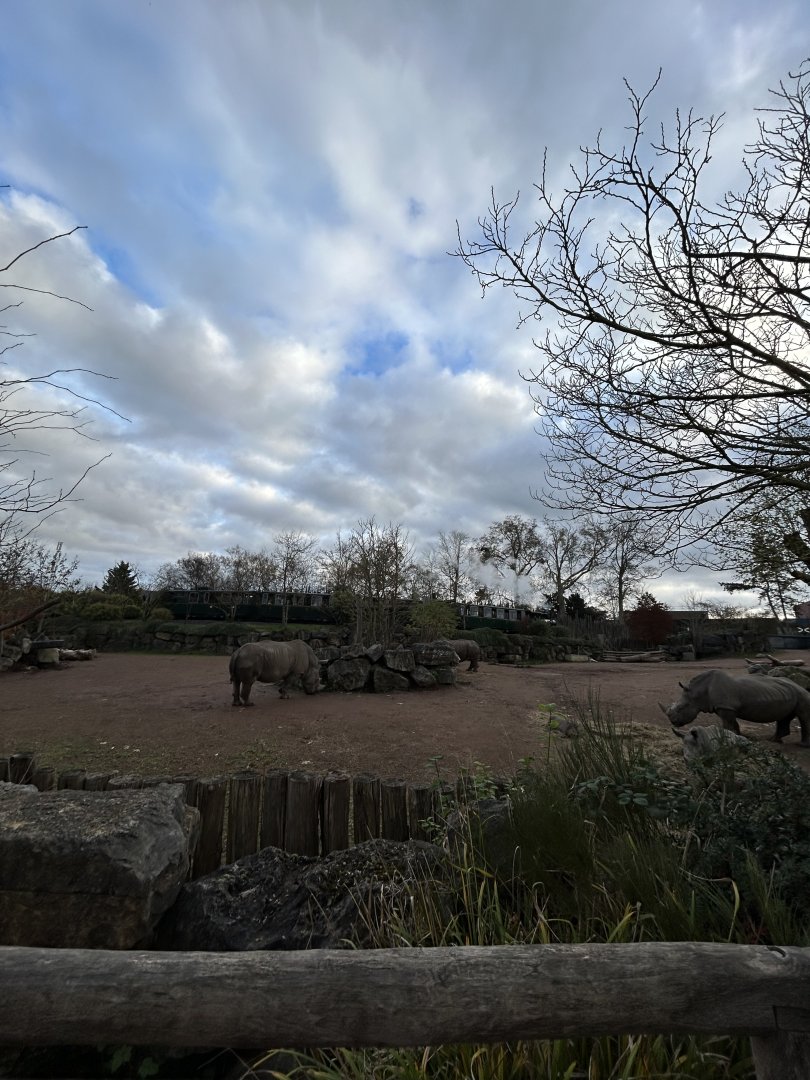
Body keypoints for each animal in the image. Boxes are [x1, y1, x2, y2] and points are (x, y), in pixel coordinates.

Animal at [661, 669, 810, 746]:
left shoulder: (726, 708)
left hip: (802, 694)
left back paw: (802, 745)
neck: (698, 692)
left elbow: (727, 725)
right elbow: (734, 724)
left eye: (681, 708)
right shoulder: (725, 708)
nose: (673, 722)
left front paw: (729, 740)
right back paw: (774, 740)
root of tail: (800, 685)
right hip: (788, 694)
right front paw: (739, 737)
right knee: (785, 717)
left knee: (803, 716)